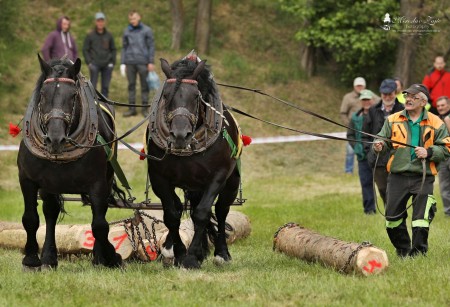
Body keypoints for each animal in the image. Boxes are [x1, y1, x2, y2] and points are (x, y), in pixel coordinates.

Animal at [16, 56, 122, 272]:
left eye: (73, 96)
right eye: (42, 94)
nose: (55, 139)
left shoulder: (97, 183)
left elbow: (100, 224)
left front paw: (110, 256)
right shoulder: (27, 179)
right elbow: (30, 218)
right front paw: (31, 259)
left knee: (98, 213)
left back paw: (98, 257)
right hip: (49, 185)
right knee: (50, 212)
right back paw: (49, 257)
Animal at [146, 57, 241, 270]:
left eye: (196, 96)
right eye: (166, 95)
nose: (180, 135)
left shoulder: (217, 177)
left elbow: (202, 214)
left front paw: (191, 258)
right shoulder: (159, 179)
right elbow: (172, 215)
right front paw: (181, 254)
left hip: (231, 184)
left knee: (221, 211)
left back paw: (221, 253)